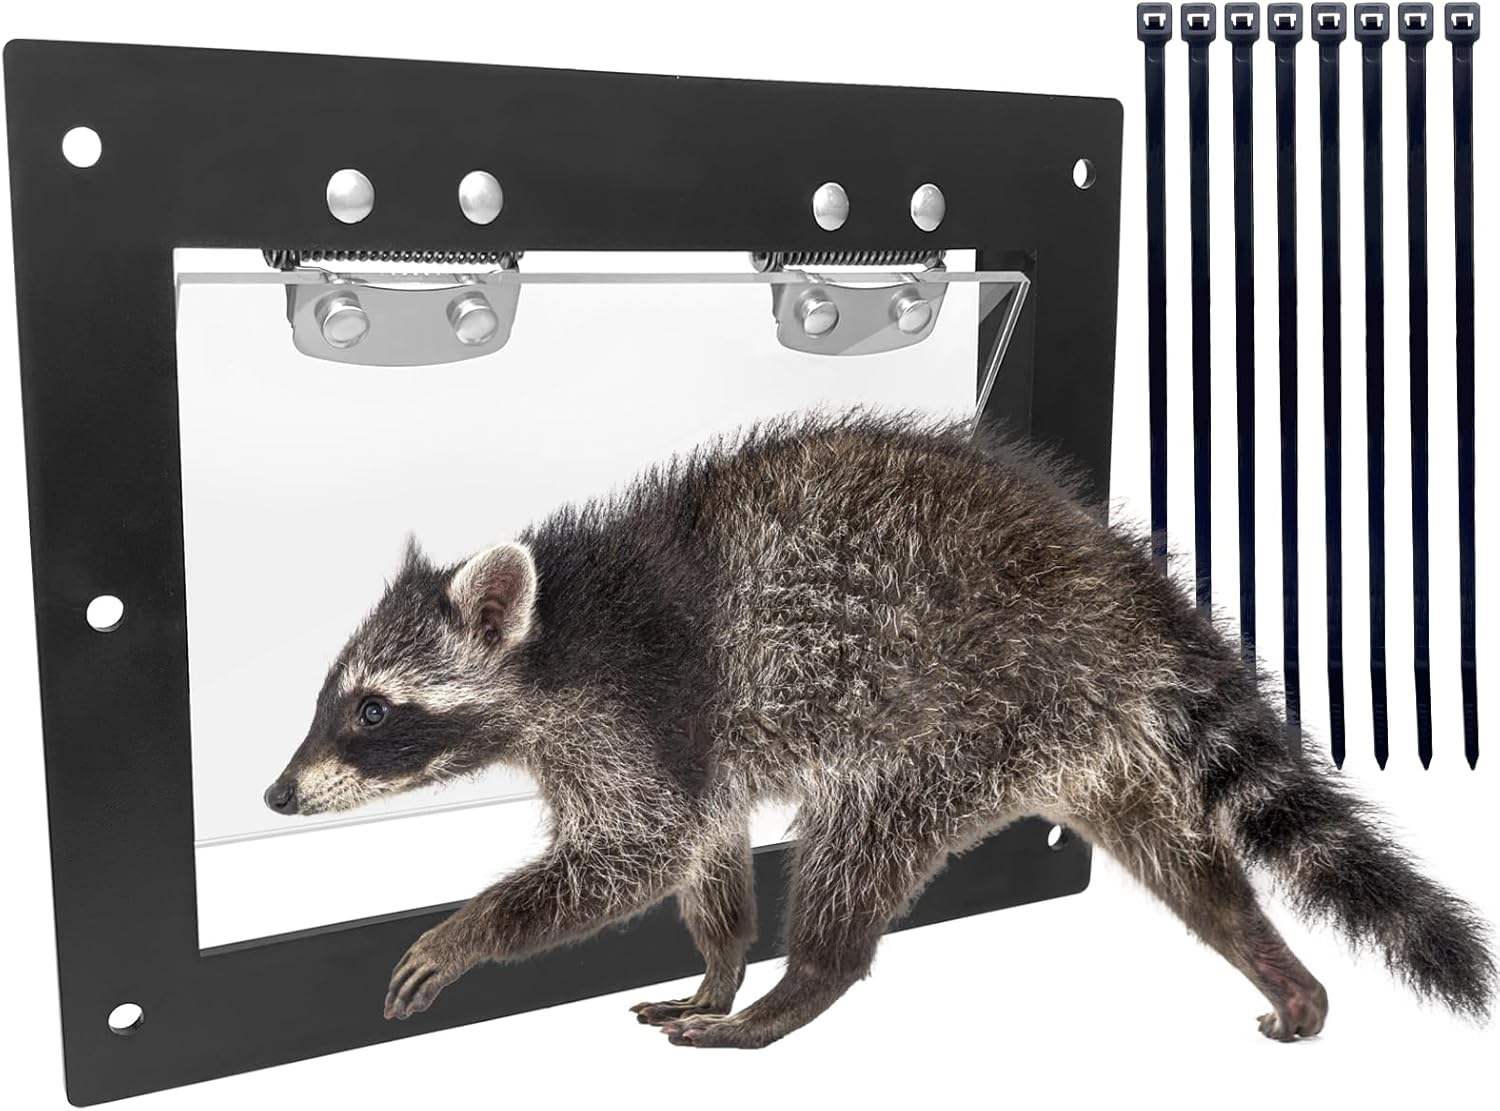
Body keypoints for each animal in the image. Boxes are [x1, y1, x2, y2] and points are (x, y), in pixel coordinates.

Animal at [265, 410, 1493, 1049]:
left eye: (373, 708)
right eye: (332, 699)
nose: (277, 793)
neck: (556, 634)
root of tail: (1121, 584)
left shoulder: (637, 717)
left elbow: (632, 855)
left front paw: (470, 930)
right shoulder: (681, 755)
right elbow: (703, 854)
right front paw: (718, 963)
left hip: (961, 710)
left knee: (861, 842)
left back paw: (801, 985)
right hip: (1076, 728)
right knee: (1182, 858)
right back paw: (1263, 949)